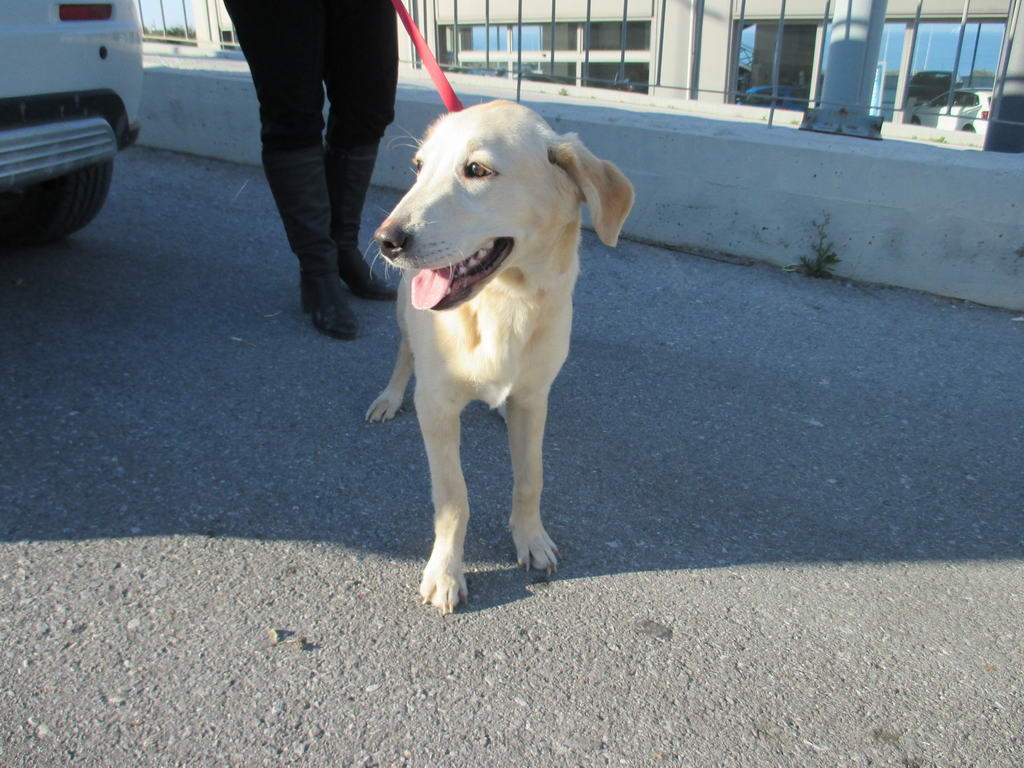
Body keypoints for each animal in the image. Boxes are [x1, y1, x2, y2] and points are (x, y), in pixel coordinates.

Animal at [366, 100, 634, 614]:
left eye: (476, 170)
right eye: (419, 167)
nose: (385, 240)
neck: (506, 305)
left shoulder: (534, 399)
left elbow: (531, 476)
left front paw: (530, 538)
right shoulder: (436, 408)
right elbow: (454, 497)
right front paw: (446, 571)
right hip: (405, 312)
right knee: (404, 352)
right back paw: (389, 397)